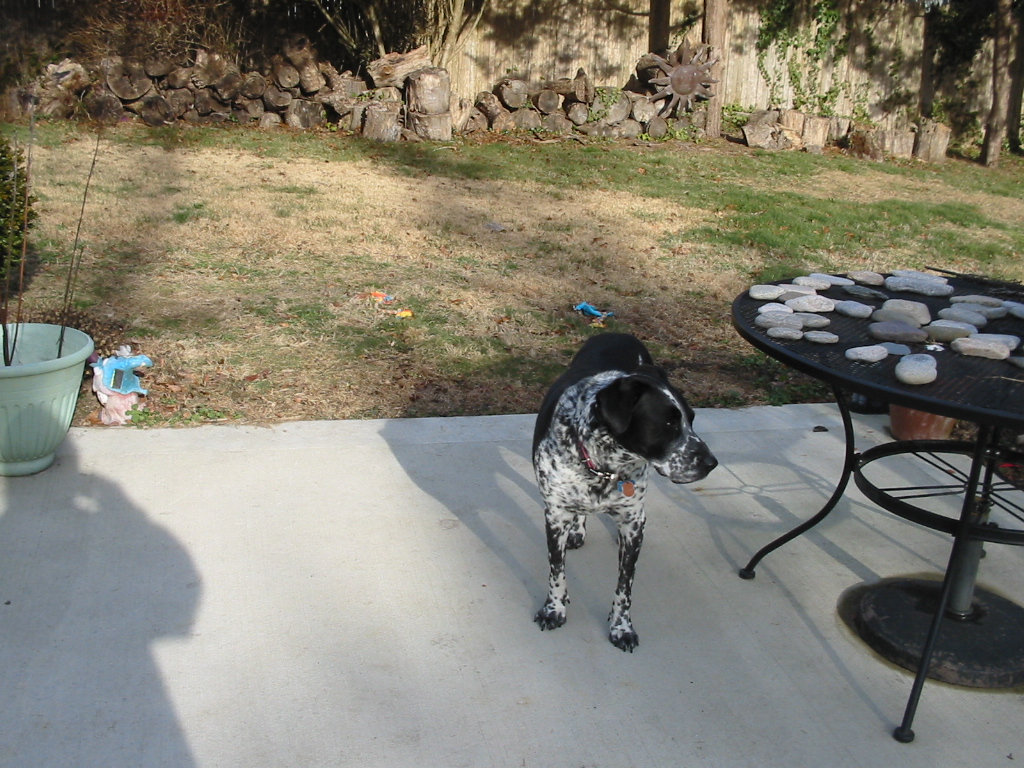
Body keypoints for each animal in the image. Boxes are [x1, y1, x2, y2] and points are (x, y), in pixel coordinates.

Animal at [532, 333, 717, 651]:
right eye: (668, 423)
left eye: (692, 418)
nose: (711, 463)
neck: (601, 465)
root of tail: (617, 333)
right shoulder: (554, 516)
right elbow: (557, 572)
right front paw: (554, 609)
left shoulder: (634, 522)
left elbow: (625, 587)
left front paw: (621, 627)